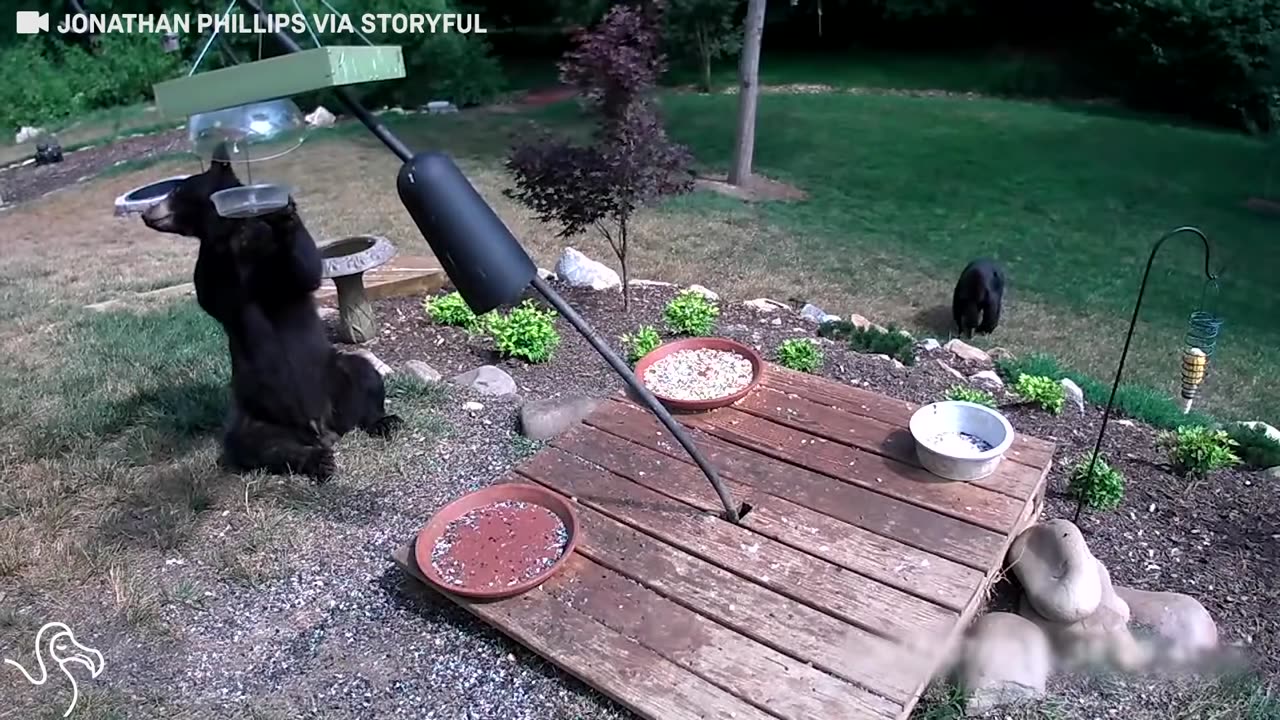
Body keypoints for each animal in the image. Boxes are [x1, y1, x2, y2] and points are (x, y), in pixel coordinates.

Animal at [139, 148, 399, 479]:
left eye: (175, 190)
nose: (146, 213)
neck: (235, 234)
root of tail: (322, 428)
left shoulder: (271, 259)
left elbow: (303, 272)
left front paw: (284, 214)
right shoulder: (215, 270)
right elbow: (216, 294)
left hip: (333, 375)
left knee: (363, 375)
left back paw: (383, 421)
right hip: (256, 413)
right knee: (253, 444)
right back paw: (317, 461)